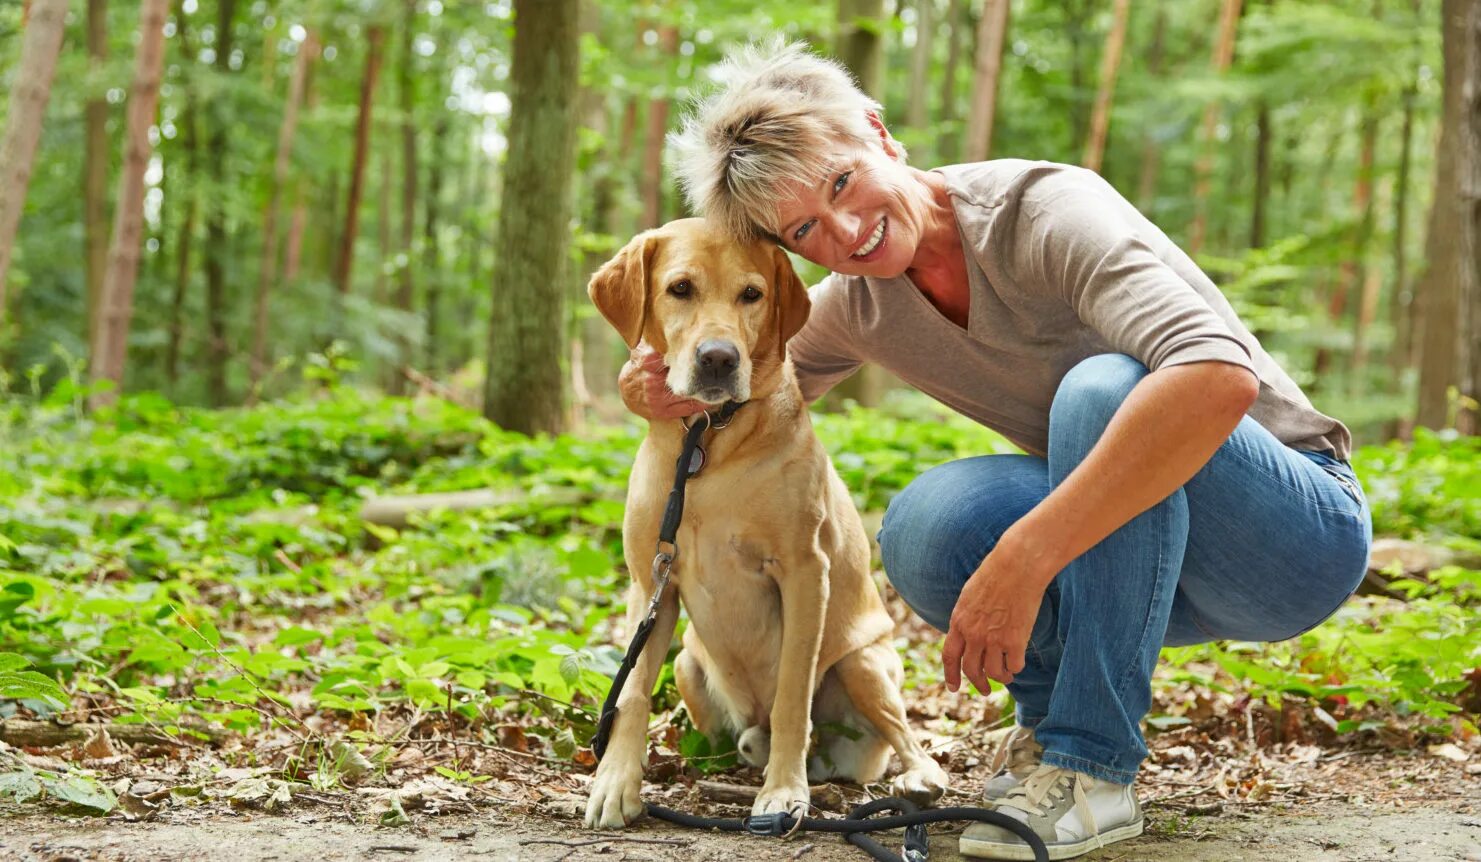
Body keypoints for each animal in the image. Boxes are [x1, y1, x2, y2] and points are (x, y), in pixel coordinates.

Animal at [580, 217, 947, 829]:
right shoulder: (651, 580)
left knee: (902, 734)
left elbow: (793, 695)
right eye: (680, 288)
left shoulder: (803, 572)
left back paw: (916, 775)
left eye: (752, 294)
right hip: (689, 664)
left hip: (865, 664)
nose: (719, 358)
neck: (707, 443)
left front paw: (783, 791)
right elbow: (631, 692)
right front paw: (615, 782)